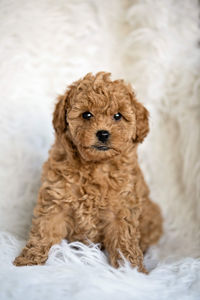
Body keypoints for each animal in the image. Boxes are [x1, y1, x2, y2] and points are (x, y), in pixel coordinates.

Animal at [13, 72, 162, 272]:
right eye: (86, 114)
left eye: (118, 116)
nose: (103, 133)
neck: (94, 165)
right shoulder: (55, 200)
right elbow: (44, 230)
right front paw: (29, 260)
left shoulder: (121, 208)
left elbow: (124, 241)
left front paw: (130, 269)